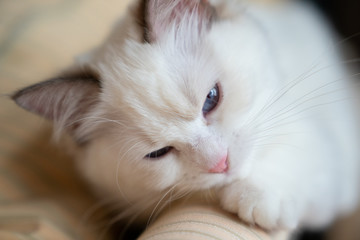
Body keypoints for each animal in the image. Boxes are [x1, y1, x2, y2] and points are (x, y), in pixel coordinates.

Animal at [11, 0, 360, 232]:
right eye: (159, 153)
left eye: (211, 100)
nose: (220, 162)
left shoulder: (332, 158)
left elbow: (295, 156)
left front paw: (258, 199)